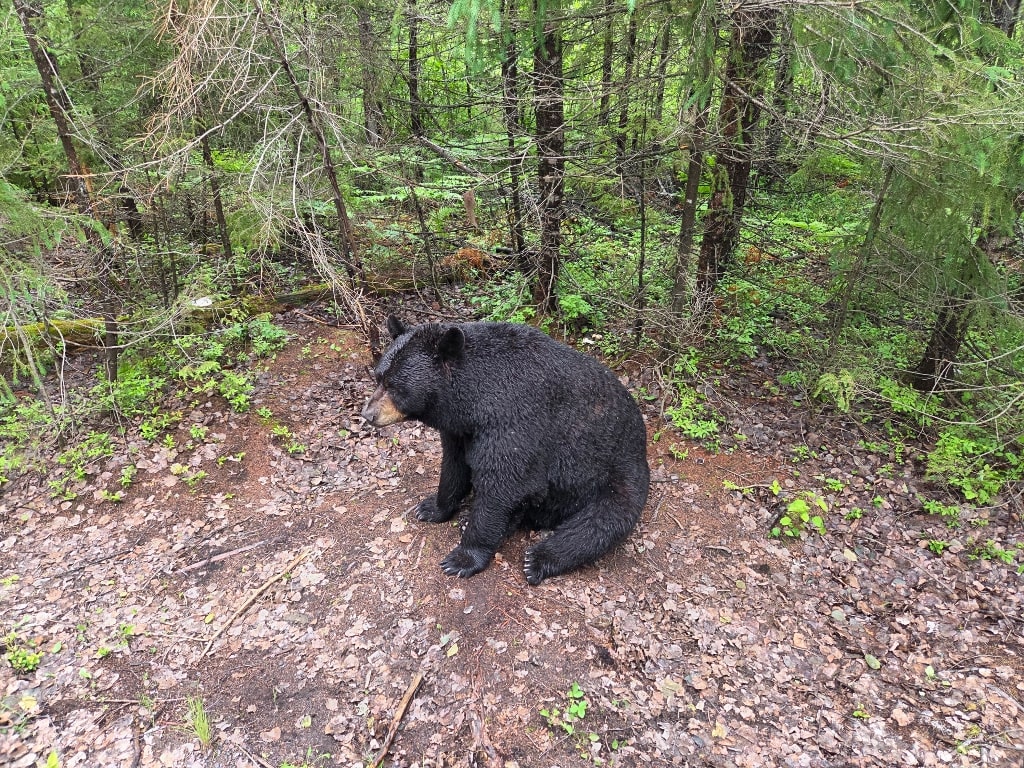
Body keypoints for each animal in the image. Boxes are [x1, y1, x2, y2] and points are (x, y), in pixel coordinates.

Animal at [361, 316, 649, 585]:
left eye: (396, 387)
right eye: (378, 377)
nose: (368, 414)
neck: (474, 398)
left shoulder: (514, 418)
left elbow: (504, 484)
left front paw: (463, 558)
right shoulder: (461, 430)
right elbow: (454, 465)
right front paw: (432, 507)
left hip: (618, 474)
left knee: (600, 523)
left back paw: (538, 560)